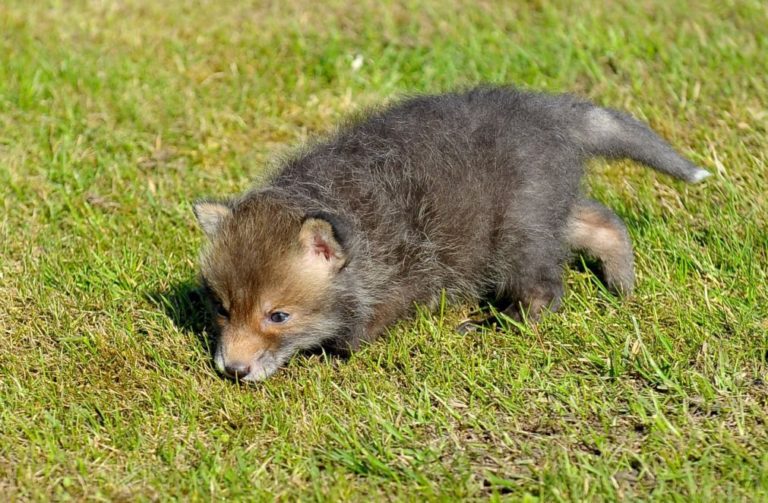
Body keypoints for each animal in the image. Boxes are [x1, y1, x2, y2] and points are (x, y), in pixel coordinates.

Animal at [193, 86, 710, 382]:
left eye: (278, 316)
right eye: (222, 308)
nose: (232, 370)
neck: (360, 239)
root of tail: (550, 110)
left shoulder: (397, 286)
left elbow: (355, 339)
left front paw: (327, 357)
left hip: (516, 231)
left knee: (545, 291)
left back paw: (492, 325)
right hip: (547, 211)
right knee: (603, 222)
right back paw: (623, 287)